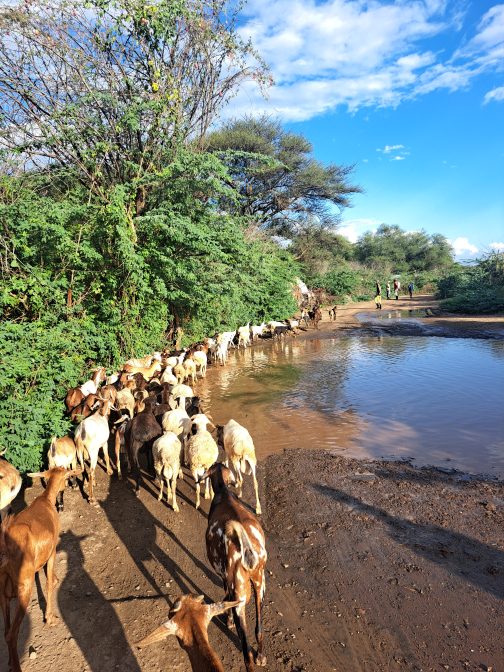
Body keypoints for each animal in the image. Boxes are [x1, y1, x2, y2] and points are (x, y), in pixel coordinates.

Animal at [0, 468, 79, 672]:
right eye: (66, 476)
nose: (68, 485)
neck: (46, 500)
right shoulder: (53, 550)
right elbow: (49, 582)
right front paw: (49, 618)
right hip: (24, 587)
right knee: (11, 634)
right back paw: (16, 667)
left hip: (3, 590)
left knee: (6, 631)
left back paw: (10, 662)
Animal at [200, 464, 268, 668]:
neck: (224, 492)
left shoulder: (225, 578)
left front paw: (228, 620)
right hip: (260, 584)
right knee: (259, 629)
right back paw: (261, 656)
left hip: (240, 596)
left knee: (246, 654)